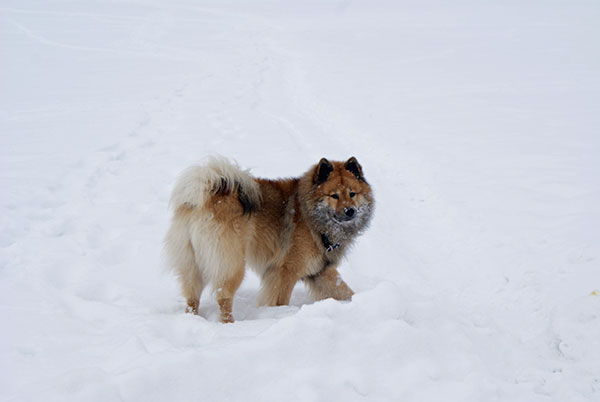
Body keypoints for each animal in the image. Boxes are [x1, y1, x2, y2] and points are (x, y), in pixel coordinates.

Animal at [162, 155, 372, 322]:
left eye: (352, 194)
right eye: (334, 195)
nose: (350, 211)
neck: (310, 214)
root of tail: (203, 199)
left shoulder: (321, 271)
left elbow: (344, 290)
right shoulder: (286, 271)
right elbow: (281, 300)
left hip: (193, 264)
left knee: (192, 298)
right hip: (232, 264)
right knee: (223, 296)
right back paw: (230, 324)